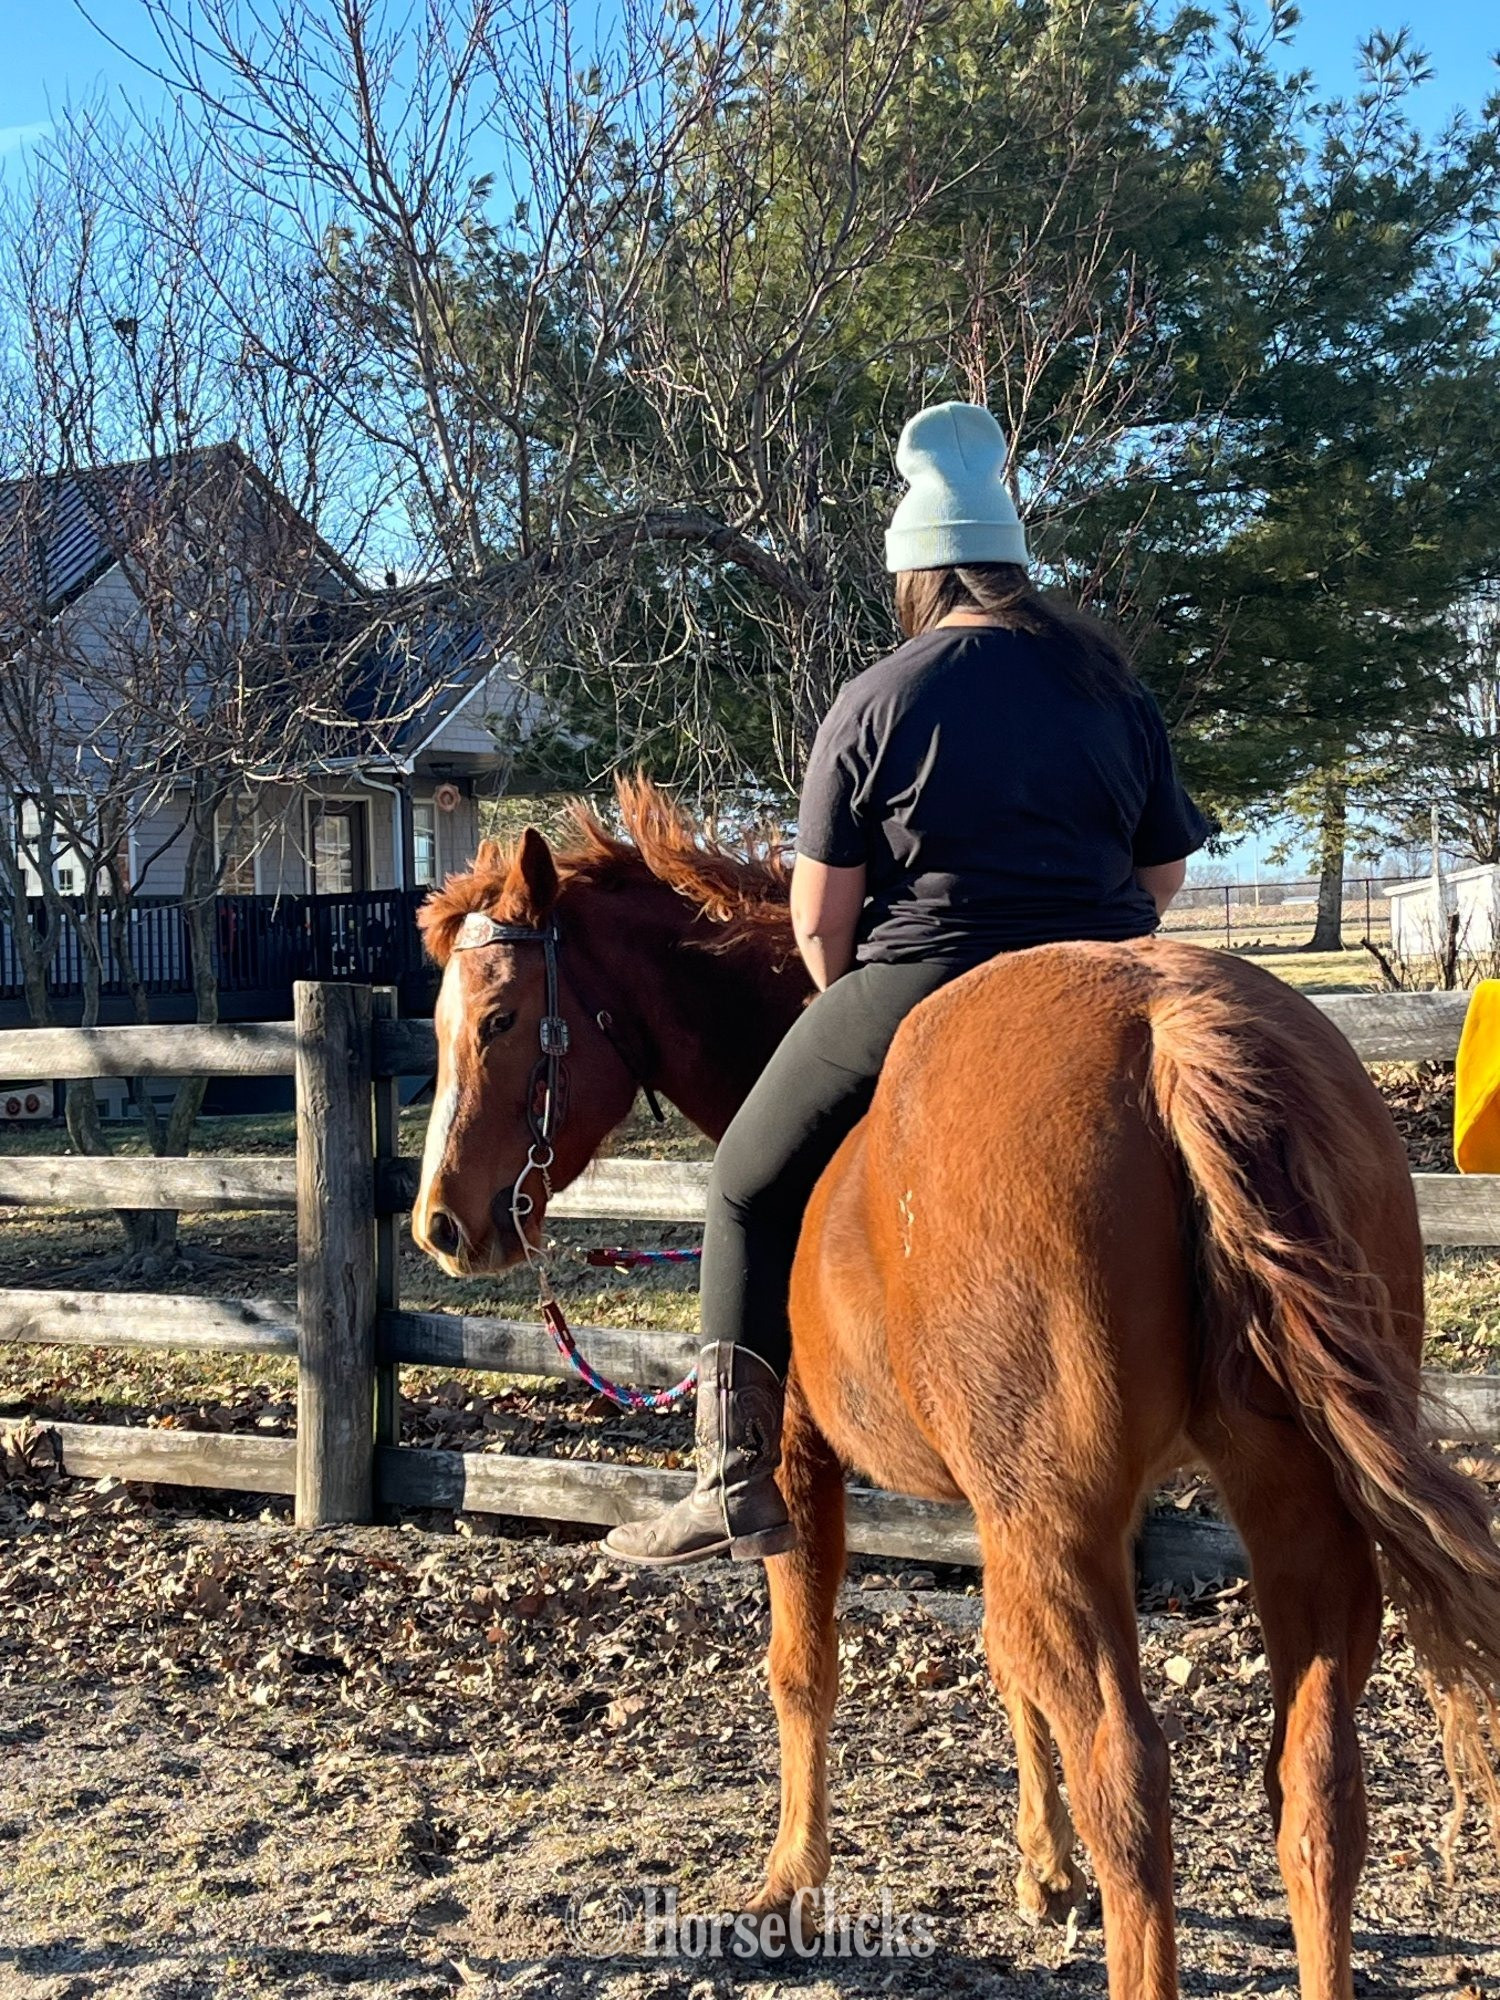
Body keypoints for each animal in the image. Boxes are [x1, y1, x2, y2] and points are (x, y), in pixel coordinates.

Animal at [410, 779, 1500, 2000]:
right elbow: (1005, 1655)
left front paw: (790, 1886)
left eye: (499, 1021)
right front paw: (1043, 1866)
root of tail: (1167, 1029)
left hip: (1074, 1520)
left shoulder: (805, 1464)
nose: (442, 1222)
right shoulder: (1012, 1507)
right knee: (1315, 1785)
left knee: (1131, 1779)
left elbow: (804, 1669)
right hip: (1285, 1508)